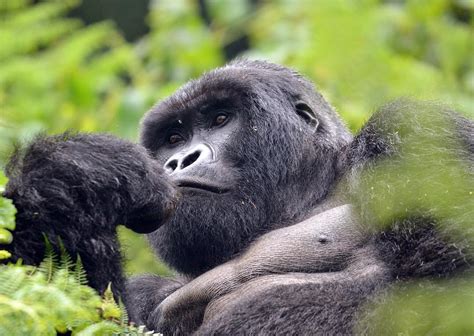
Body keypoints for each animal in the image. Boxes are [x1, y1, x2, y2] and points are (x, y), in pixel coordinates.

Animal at [1, 59, 472, 334]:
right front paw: (69, 183)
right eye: (174, 138)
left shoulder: (413, 134)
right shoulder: (151, 295)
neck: (308, 196)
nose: (181, 160)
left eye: (220, 118)